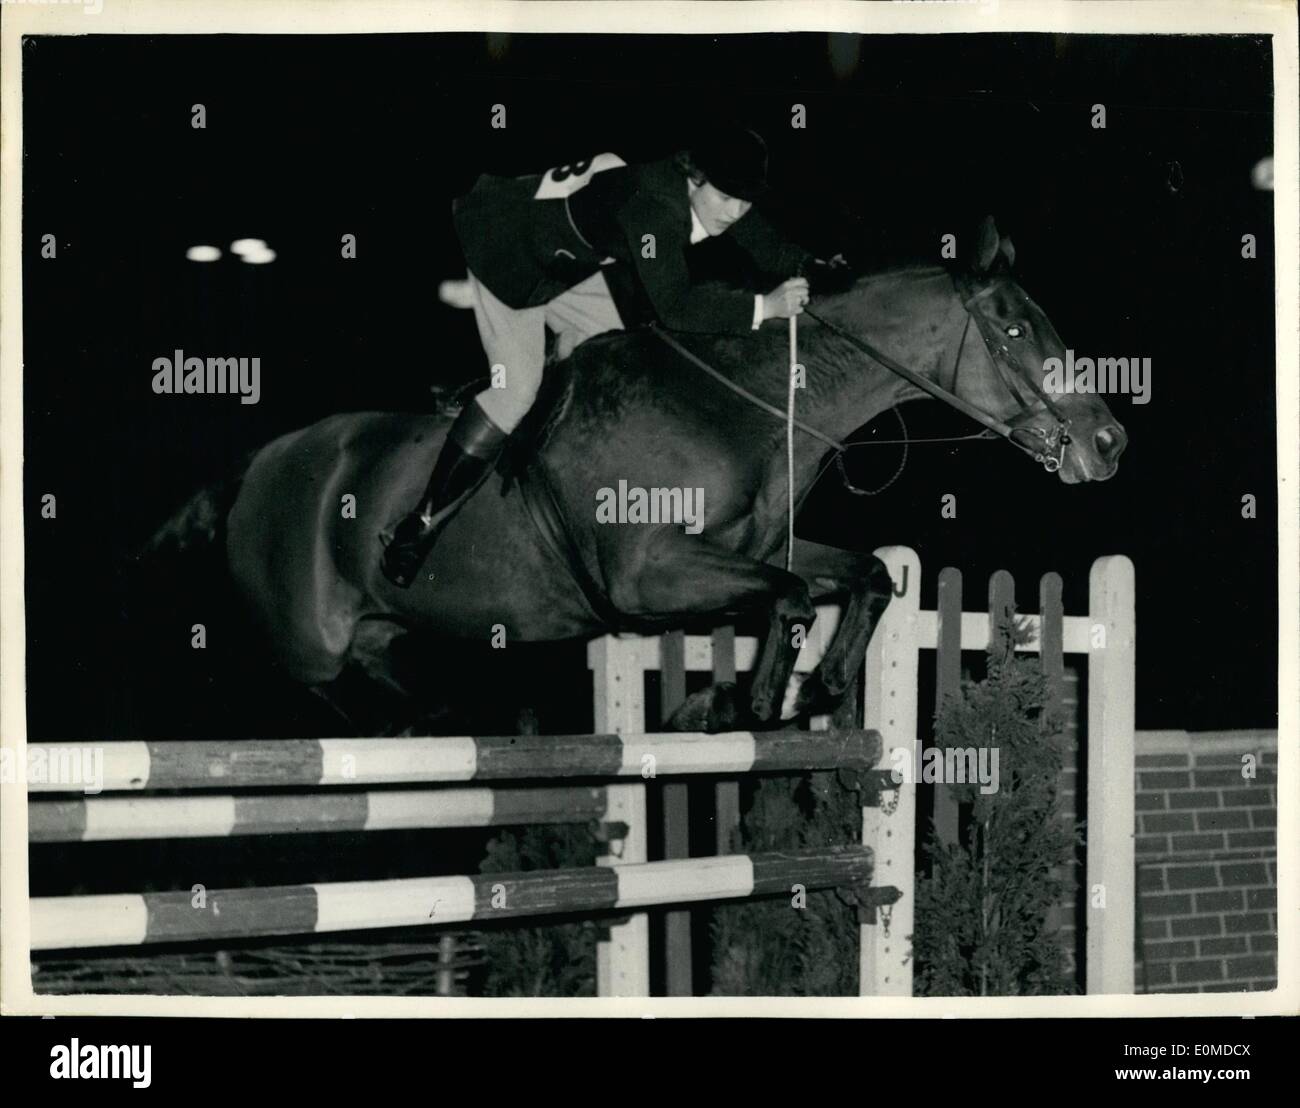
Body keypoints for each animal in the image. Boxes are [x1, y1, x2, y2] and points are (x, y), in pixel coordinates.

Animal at [178, 219, 1123, 733]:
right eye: (1012, 330)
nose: (1108, 441)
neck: (740, 403)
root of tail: (256, 468)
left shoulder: (754, 551)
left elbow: (865, 575)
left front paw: (820, 687)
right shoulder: (648, 575)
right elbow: (787, 599)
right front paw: (751, 702)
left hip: (379, 627)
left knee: (388, 673)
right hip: (308, 643)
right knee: (326, 689)